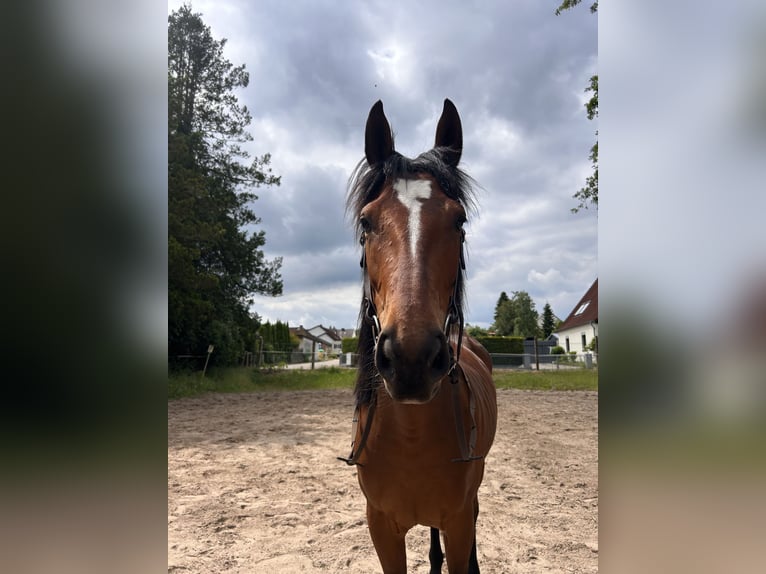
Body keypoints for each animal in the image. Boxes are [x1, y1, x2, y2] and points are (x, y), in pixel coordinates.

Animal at [340, 99, 498, 574]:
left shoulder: (460, 521)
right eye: (366, 223)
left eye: (459, 221)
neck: (411, 435)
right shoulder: (381, 529)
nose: (411, 359)